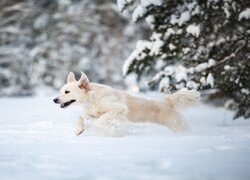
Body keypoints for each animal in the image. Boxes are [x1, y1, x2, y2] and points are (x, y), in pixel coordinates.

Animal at [53, 72, 200, 136]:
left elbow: (102, 119)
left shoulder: (119, 108)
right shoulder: (90, 112)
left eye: (67, 92)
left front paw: (113, 126)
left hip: (176, 124)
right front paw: (79, 129)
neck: (93, 99)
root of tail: (165, 101)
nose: (54, 100)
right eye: (60, 91)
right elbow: (81, 117)